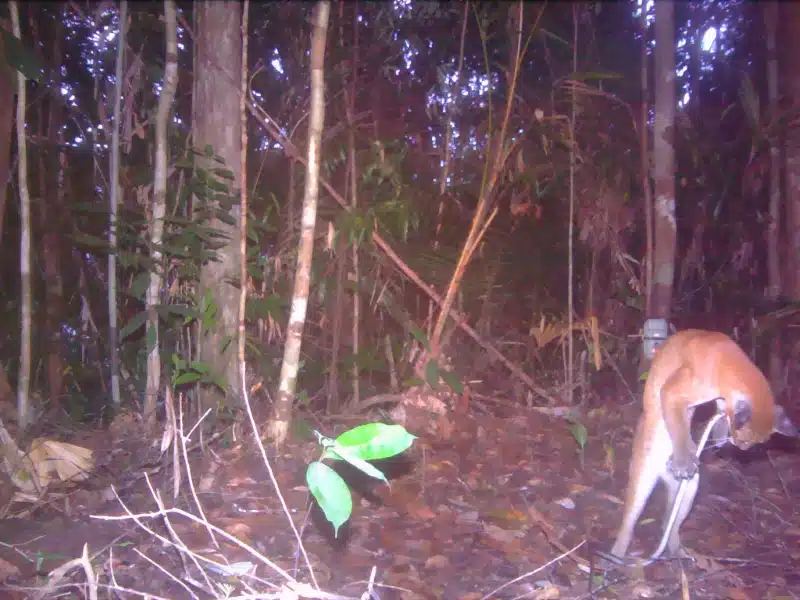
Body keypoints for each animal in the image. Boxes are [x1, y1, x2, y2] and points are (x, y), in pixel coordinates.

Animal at [608, 330, 792, 564]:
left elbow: (720, 411)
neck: (731, 361)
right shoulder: (672, 392)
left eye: (754, 443)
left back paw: (678, 552)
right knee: (629, 521)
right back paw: (615, 557)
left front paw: (719, 435)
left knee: (669, 523)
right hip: (643, 476)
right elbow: (679, 428)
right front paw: (684, 458)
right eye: (744, 441)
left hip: (689, 489)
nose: (741, 449)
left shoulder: (720, 399)